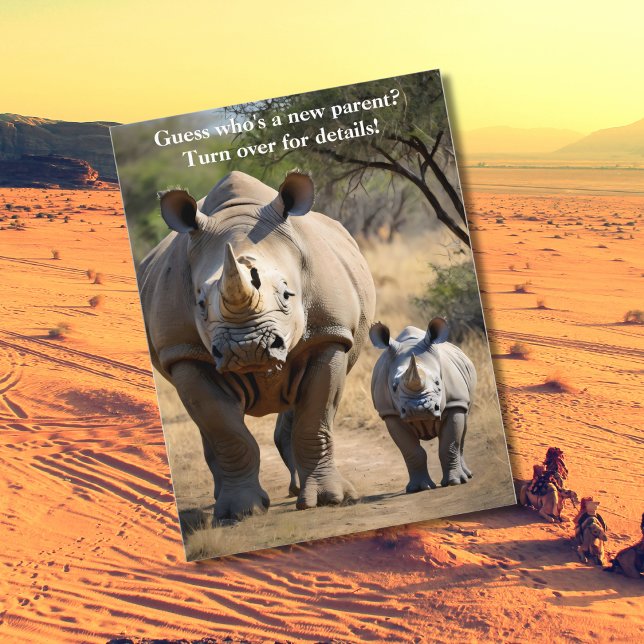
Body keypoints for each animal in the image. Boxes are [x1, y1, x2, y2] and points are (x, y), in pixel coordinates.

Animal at [138, 170, 375, 522]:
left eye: (288, 295)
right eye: (200, 303)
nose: (247, 348)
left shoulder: (329, 333)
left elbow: (315, 418)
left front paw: (329, 500)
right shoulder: (182, 352)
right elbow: (225, 431)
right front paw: (239, 512)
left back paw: (296, 491)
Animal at [370, 318, 476, 491]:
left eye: (438, 382)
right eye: (394, 386)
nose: (418, 409)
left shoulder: (455, 403)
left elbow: (449, 445)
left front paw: (455, 482)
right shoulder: (390, 413)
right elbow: (411, 451)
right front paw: (419, 488)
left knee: (463, 430)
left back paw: (467, 476)